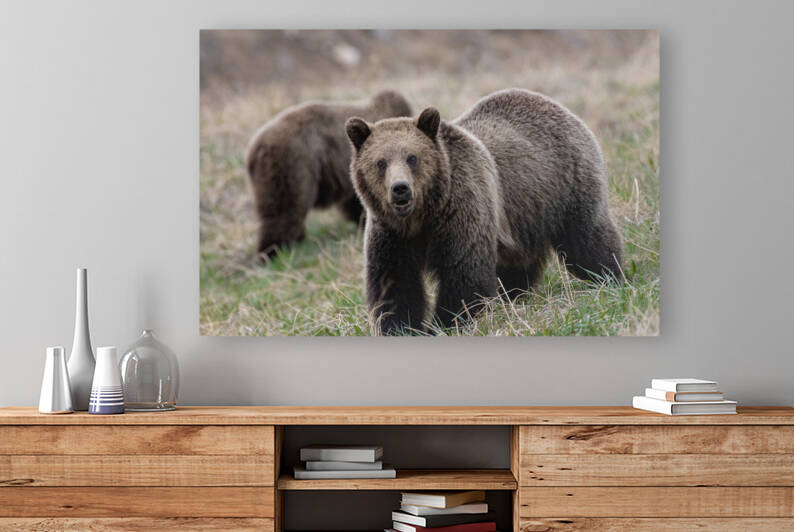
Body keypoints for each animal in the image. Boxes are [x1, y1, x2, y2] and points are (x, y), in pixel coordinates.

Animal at [345, 88, 623, 335]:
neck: (422, 216)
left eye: (412, 157)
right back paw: (513, 297)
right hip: (524, 216)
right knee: (518, 263)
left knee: (587, 241)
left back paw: (610, 278)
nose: (400, 189)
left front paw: (444, 325)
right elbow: (394, 283)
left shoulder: (462, 210)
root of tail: (555, 105)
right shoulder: (391, 234)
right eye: (380, 162)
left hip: (566, 186)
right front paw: (401, 328)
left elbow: (465, 275)